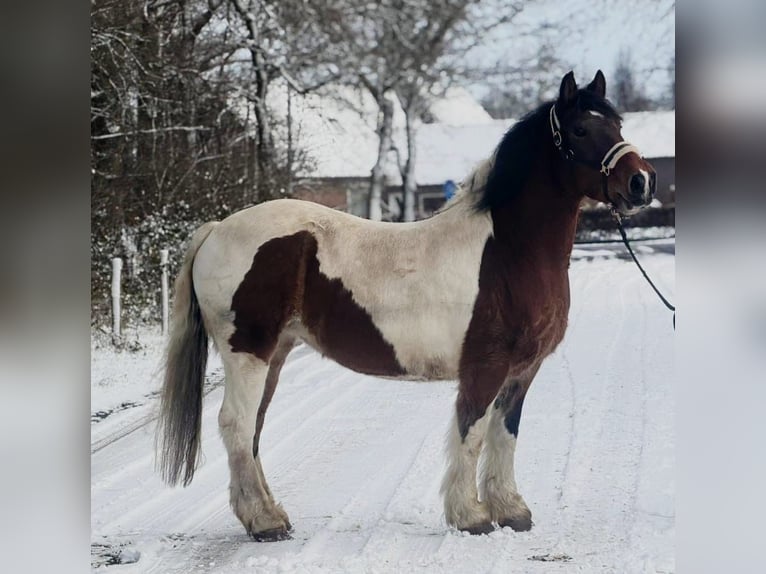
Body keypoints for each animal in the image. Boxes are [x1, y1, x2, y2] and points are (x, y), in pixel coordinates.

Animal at [157, 70, 657, 540]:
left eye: (617, 123)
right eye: (579, 130)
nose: (641, 182)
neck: (510, 251)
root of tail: (217, 230)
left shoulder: (522, 370)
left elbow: (505, 433)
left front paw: (511, 510)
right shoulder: (487, 366)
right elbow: (471, 433)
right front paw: (471, 516)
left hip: (274, 354)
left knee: (254, 430)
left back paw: (270, 515)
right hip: (248, 354)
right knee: (237, 425)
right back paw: (263, 522)